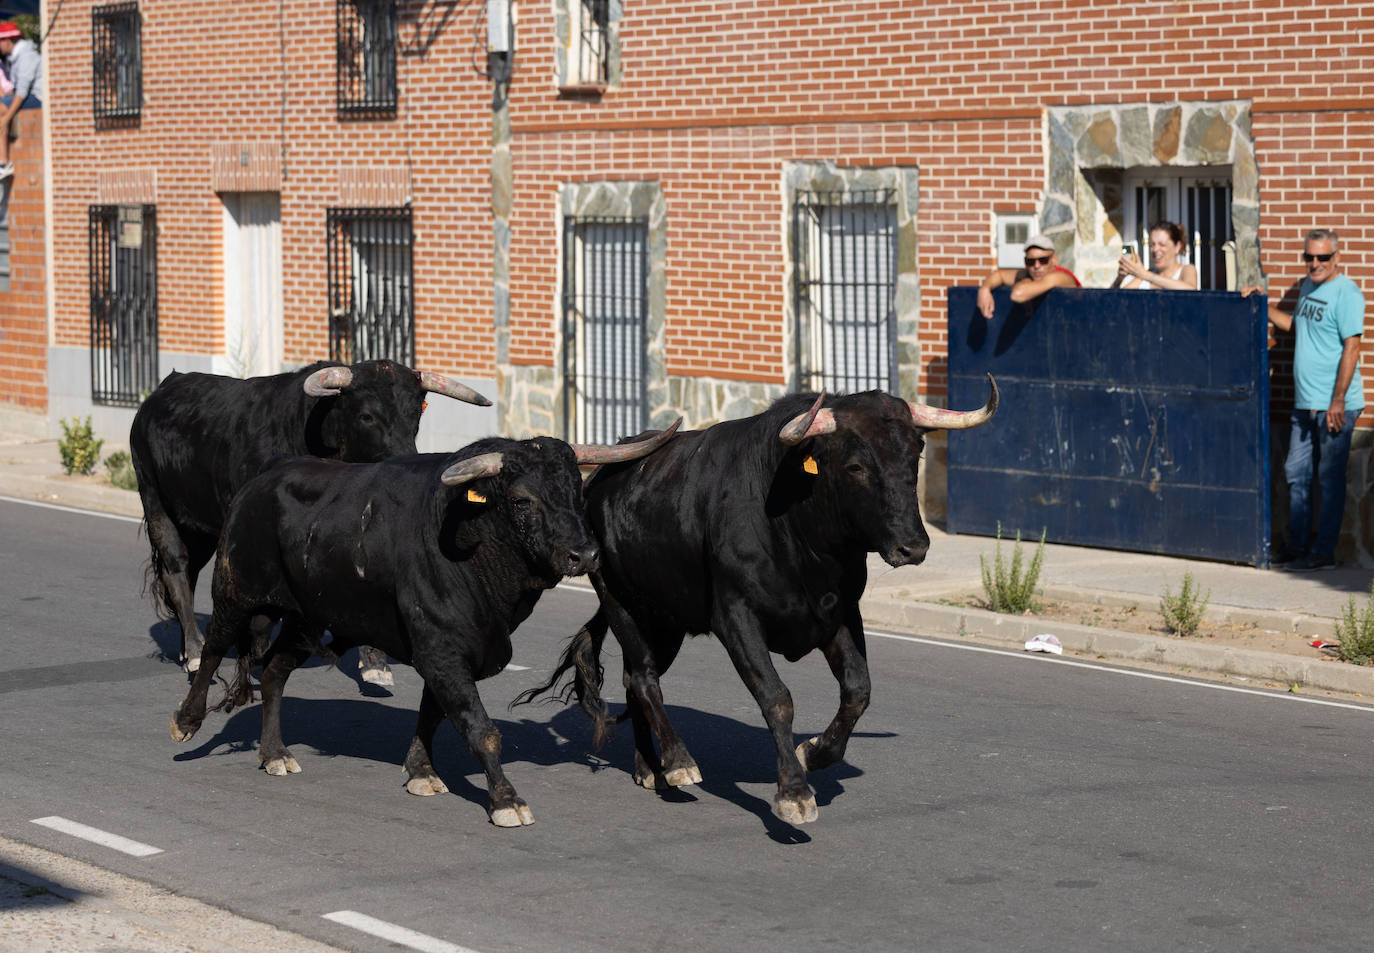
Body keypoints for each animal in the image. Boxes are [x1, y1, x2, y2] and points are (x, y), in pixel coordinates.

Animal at [129, 362, 491, 683]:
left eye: (415, 414)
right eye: (367, 415)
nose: (406, 461)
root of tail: (162, 390)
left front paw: (375, 663)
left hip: (198, 526)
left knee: (188, 573)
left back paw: (186, 649)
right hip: (155, 499)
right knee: (176, 568)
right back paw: (193, 651)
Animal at [171, 425, 681, 829]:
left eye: (577, 493)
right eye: (522, 500)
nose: (585, 555)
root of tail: (265, 476)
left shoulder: (452, 653)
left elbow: (433, 713)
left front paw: (421, 772)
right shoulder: (442, 650)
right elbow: (479, 727)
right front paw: (506, 800)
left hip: (307, 618)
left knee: (275, 672)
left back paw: (274, 753)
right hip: (235, 590)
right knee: (213, 648)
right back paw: (186, 723)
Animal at [516, 384, 1000, 823]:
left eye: (915, 454)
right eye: (856, 465)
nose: (913, 547)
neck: (801, 535)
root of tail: (603, 476)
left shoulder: (840, 613)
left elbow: (858, 692)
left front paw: (815, 753)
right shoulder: (737, 619)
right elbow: (777, 698)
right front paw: (794, 793)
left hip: (666, 621)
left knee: (634, 680)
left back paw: (649, 767)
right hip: (621, 605)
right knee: (644, 678)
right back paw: (678, 762)